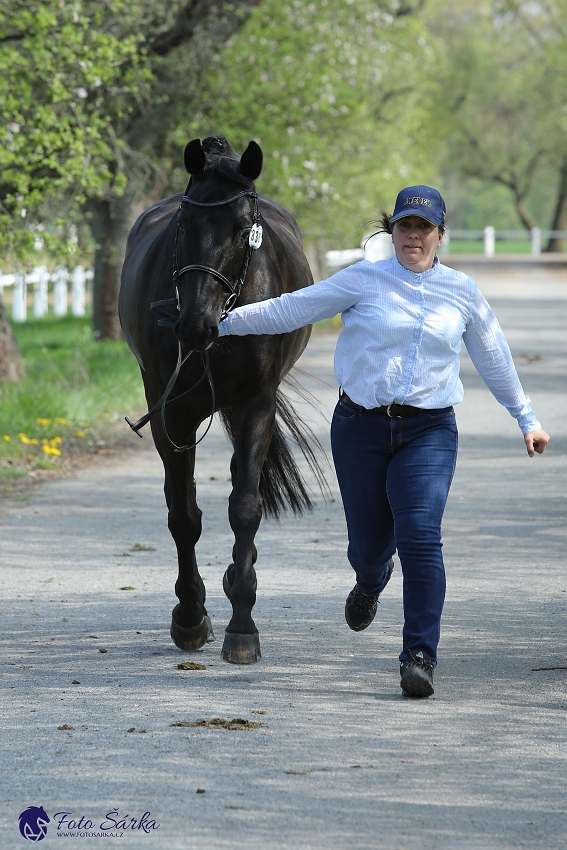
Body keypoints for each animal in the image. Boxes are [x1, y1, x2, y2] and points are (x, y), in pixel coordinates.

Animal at [118, 134, 324, 664]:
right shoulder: (171, 412)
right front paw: (191, 616)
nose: (194, 326)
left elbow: (245, 507)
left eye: (243, 228)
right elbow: (183, 516)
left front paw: (242, 625)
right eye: (184, 224)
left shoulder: (255, 404)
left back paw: (238, 578)